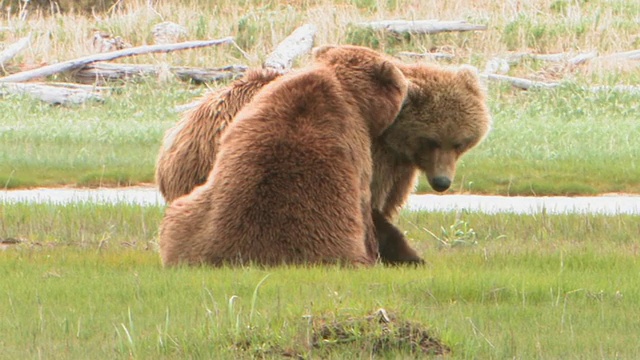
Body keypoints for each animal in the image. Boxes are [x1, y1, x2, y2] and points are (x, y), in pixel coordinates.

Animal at [155, 54, 490, 266]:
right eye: (432, 140)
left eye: (460, 142)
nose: (442, 182)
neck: (395, 141)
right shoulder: (374, 154)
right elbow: (368, 205)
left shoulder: (399, 167)